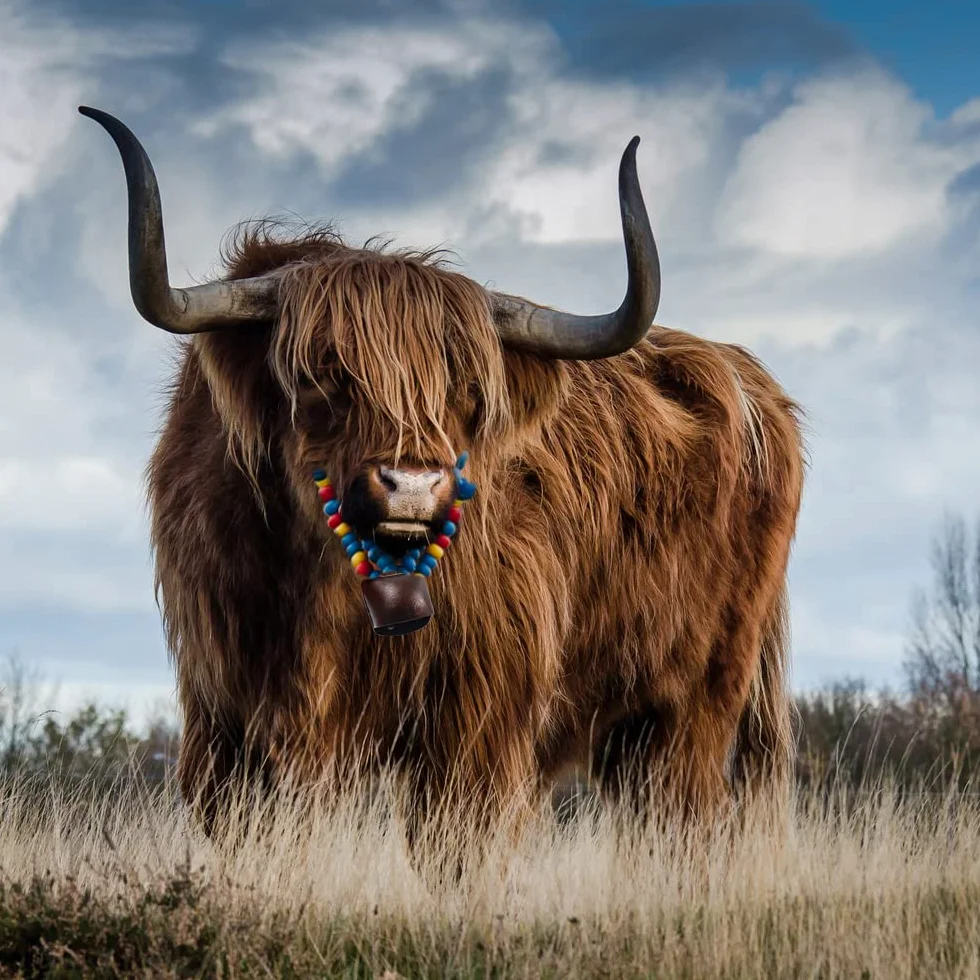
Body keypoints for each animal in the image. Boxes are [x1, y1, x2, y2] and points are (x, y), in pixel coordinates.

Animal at [79, 105, 805, 850]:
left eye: (465, 389)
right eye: (321, 374)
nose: (411, 484)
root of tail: (749, 378)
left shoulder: (478, 717)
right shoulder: (225, 714)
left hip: (696, 702)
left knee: (686, 819)